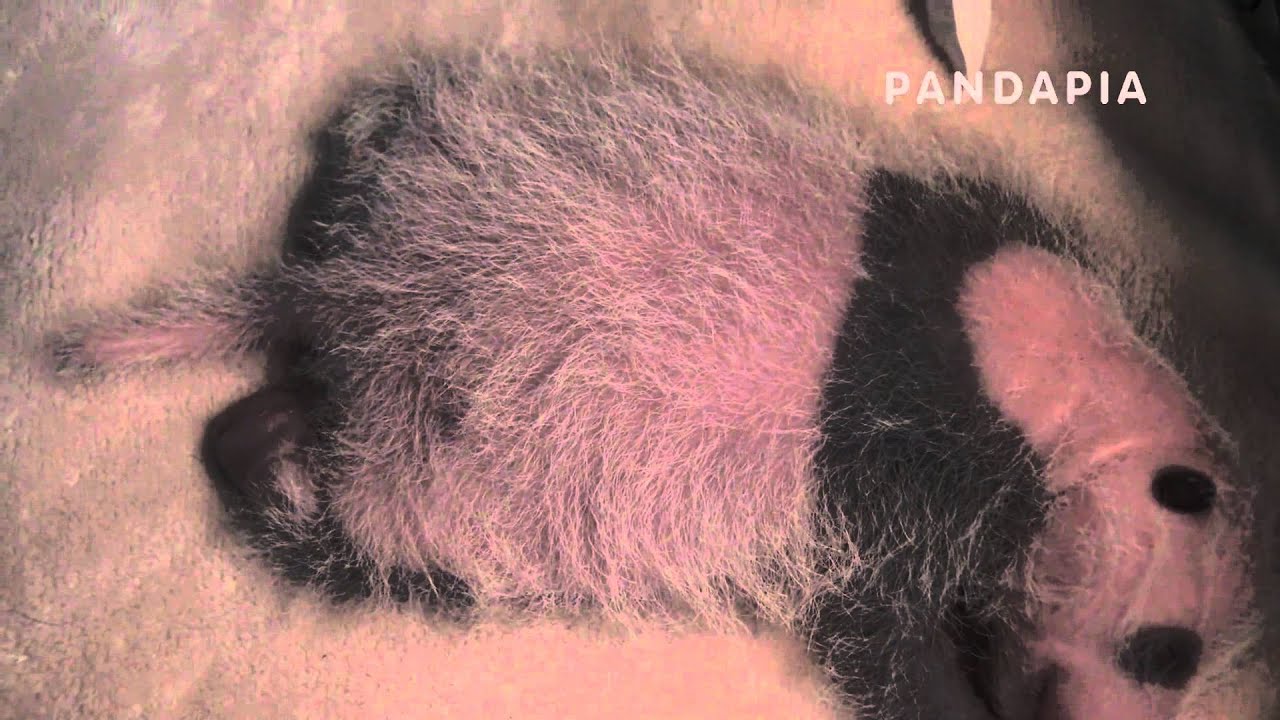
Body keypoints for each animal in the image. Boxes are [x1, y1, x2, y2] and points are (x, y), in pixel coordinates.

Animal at [46, 16, 1265, 720]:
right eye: (1165, 653)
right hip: (464, 475)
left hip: (428, 211)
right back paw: (271, 476)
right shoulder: (898, 468)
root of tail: (355, 289)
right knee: (366, 526)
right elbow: (881, 635)